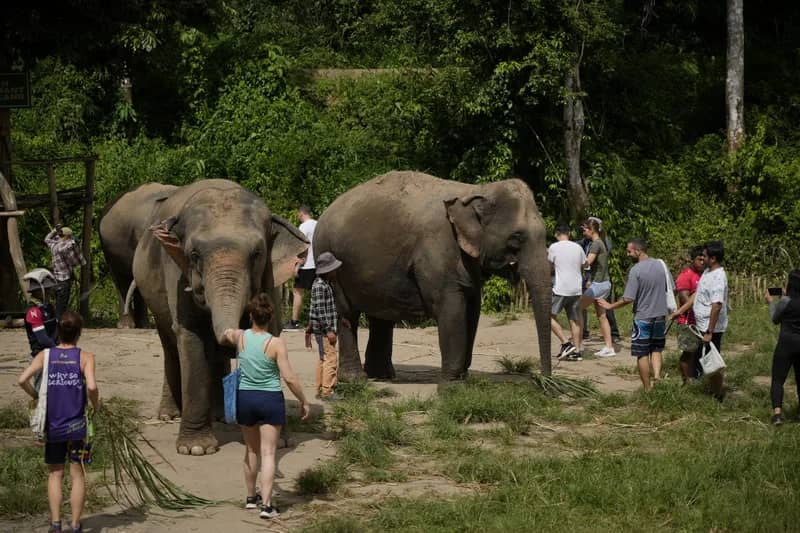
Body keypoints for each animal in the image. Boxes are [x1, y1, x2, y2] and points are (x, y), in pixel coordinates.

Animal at [101, 179, 308, 455]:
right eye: (194, 255)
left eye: (257, 254)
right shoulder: (178, 277)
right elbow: (191, 338)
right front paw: (196, 449)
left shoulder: (271, 281)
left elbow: (272, 334)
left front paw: (281, 441)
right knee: (170, 346)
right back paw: (169, 414)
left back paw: (220, 416)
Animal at [314, 171, 552, 381]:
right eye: (516, 237)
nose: (545, 383)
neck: (475, 190)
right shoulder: (437, 248)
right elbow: (451, 306)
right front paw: (451, 384)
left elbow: (472, 307)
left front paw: (461, 377)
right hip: (331, 261)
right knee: (346, 314)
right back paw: (355, 379)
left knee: (380, 316)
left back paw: (381, 376)